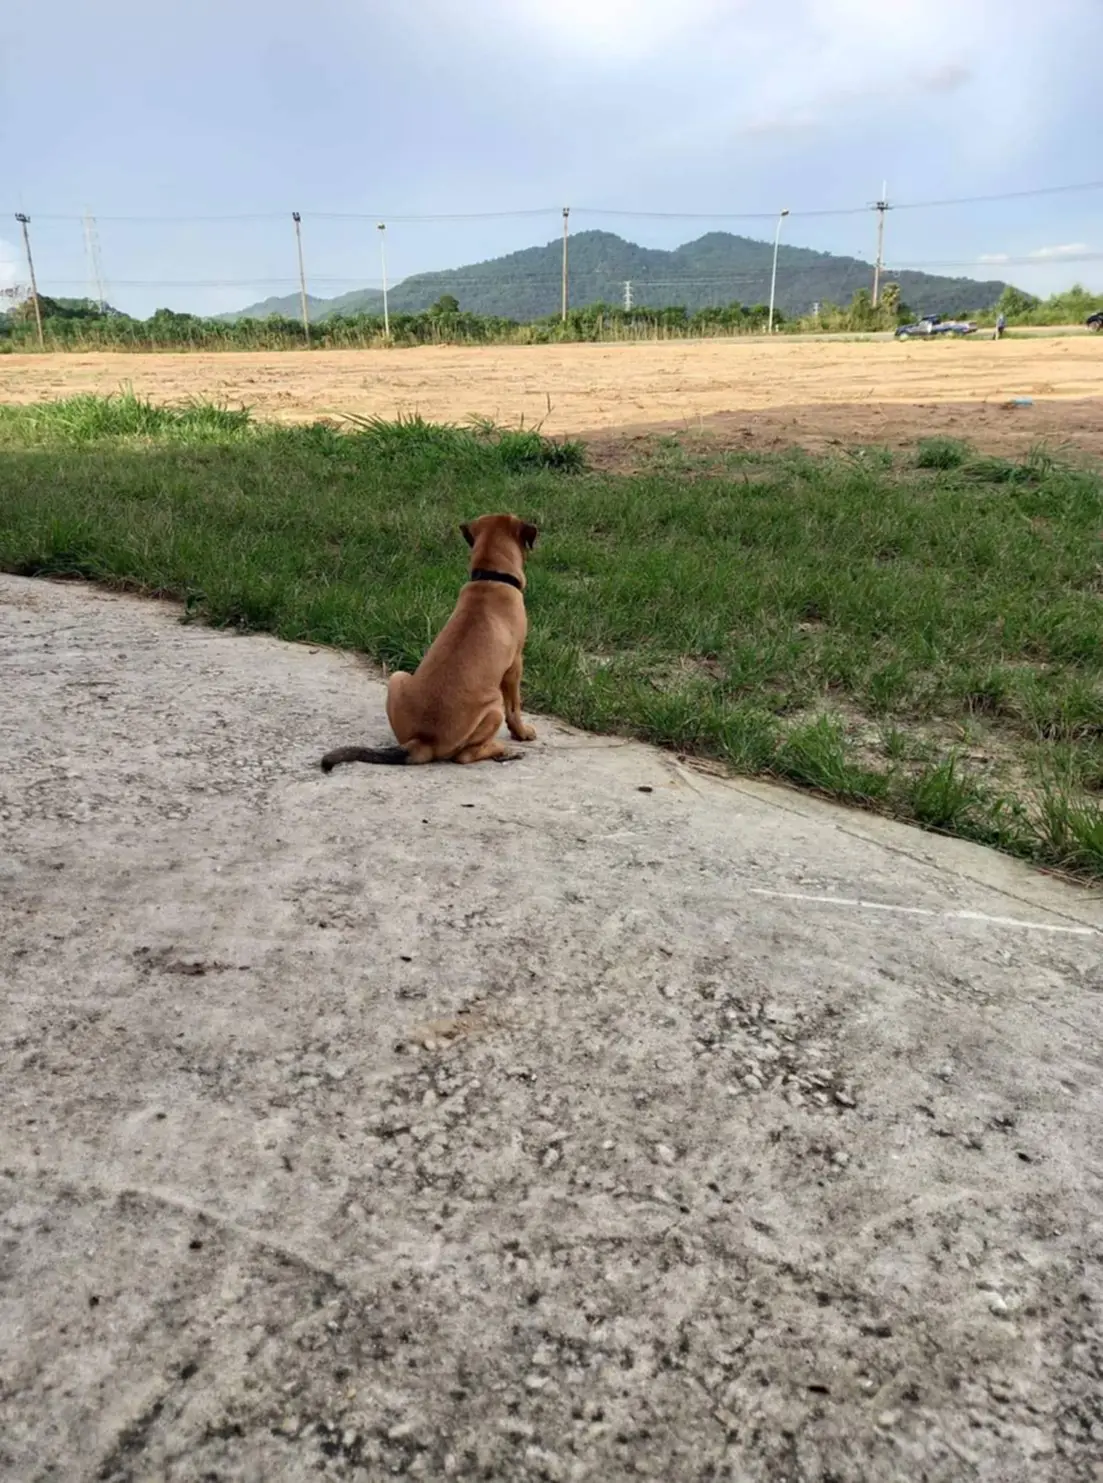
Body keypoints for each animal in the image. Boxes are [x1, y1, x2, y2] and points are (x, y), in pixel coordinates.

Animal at [318, 513, 539, 777]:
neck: (489, 578)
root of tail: (423, 742)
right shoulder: (515, 664)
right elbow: (514, 707)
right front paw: (522, 733)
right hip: (493, 708)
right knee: (465, 755)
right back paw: (502, 749)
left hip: (397, 678)